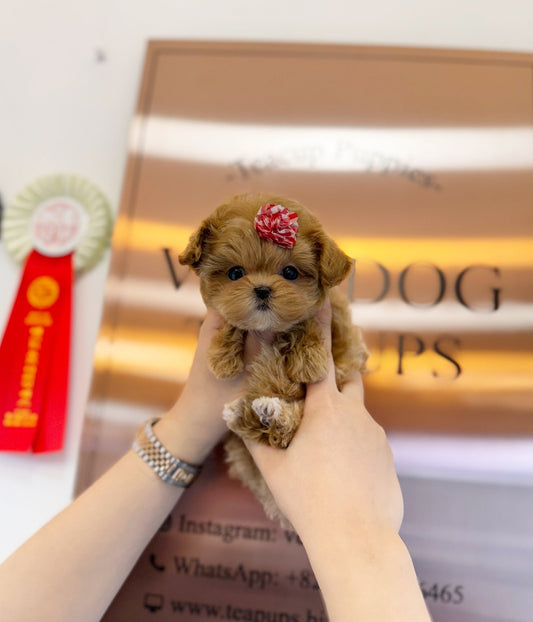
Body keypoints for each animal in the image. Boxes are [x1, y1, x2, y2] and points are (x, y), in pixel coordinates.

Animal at [179, 195, 366, 528]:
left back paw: (271, 413)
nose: (262, 289)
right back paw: (249, 413)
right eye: (235, 274)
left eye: (290, 273)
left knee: (284, 432)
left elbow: (309, 324)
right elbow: (232, 322)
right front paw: (222, 356)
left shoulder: (342, 335)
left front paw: (308, 359)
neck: (269, 330)